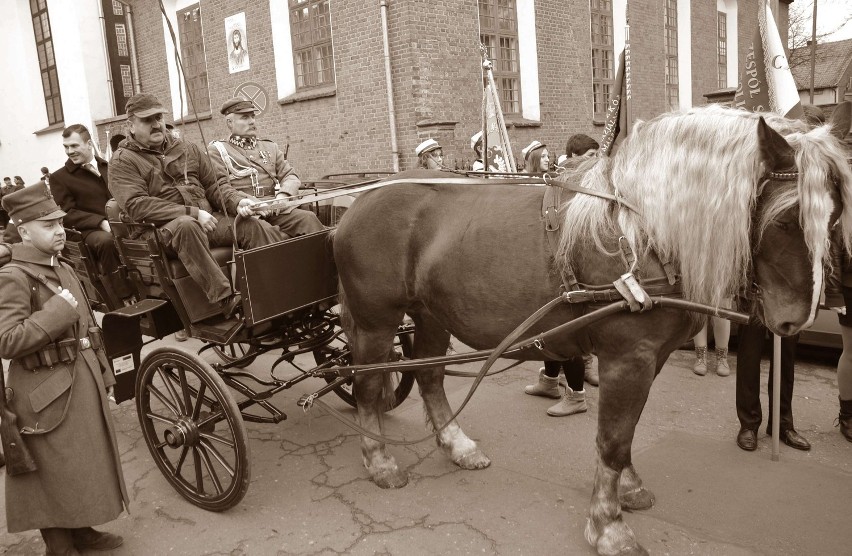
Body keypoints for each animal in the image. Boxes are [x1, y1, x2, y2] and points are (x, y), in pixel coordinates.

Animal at [332, 105, 852, 556]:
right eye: (786, 219)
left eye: (834, 215)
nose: (797, 320)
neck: (642, 231)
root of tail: (357, 203)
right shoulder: (628, 358)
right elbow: (613, 439)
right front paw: (608, 526)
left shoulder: (651, 358)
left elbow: (627, 434)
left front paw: (628, 489)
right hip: (377, 323)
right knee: (369, 385)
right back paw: (379, 460)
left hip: (431, 316)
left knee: (429, 376)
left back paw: (457, 446)